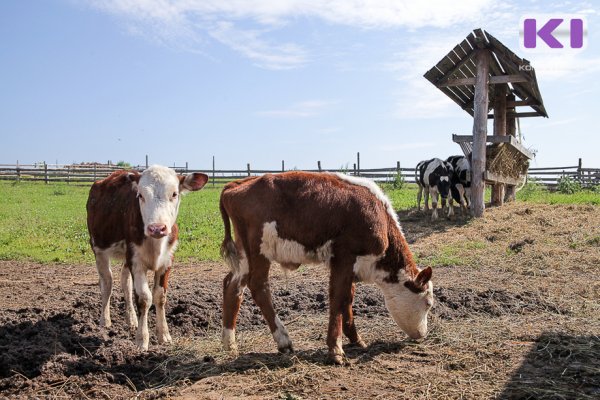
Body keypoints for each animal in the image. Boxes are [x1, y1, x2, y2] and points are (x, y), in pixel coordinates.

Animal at [86, 166, 209, 350]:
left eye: (174, 193)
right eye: (140, 195)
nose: (157, 228)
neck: (155, 245)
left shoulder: (167, 261)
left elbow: (160, 296)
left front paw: (164, 335)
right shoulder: (136, 262)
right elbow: (144, 298)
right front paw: (142, 339)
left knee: (125, 282)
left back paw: (131, 320)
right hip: (98, 248)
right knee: (107, 283)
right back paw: (105, 320)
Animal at [218, 170, 434, 364]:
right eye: (428, 303)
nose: (423, 334)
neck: (378, 216)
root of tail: (237, 185)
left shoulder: (350, 267)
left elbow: (347, 299)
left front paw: (356, 339)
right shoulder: (344, 258)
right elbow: (337, 299)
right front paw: (335, 350)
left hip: (244, 255)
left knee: (232, 286)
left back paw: (230, 344)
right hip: (259, 251)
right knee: (258, 286)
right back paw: (283, 340)